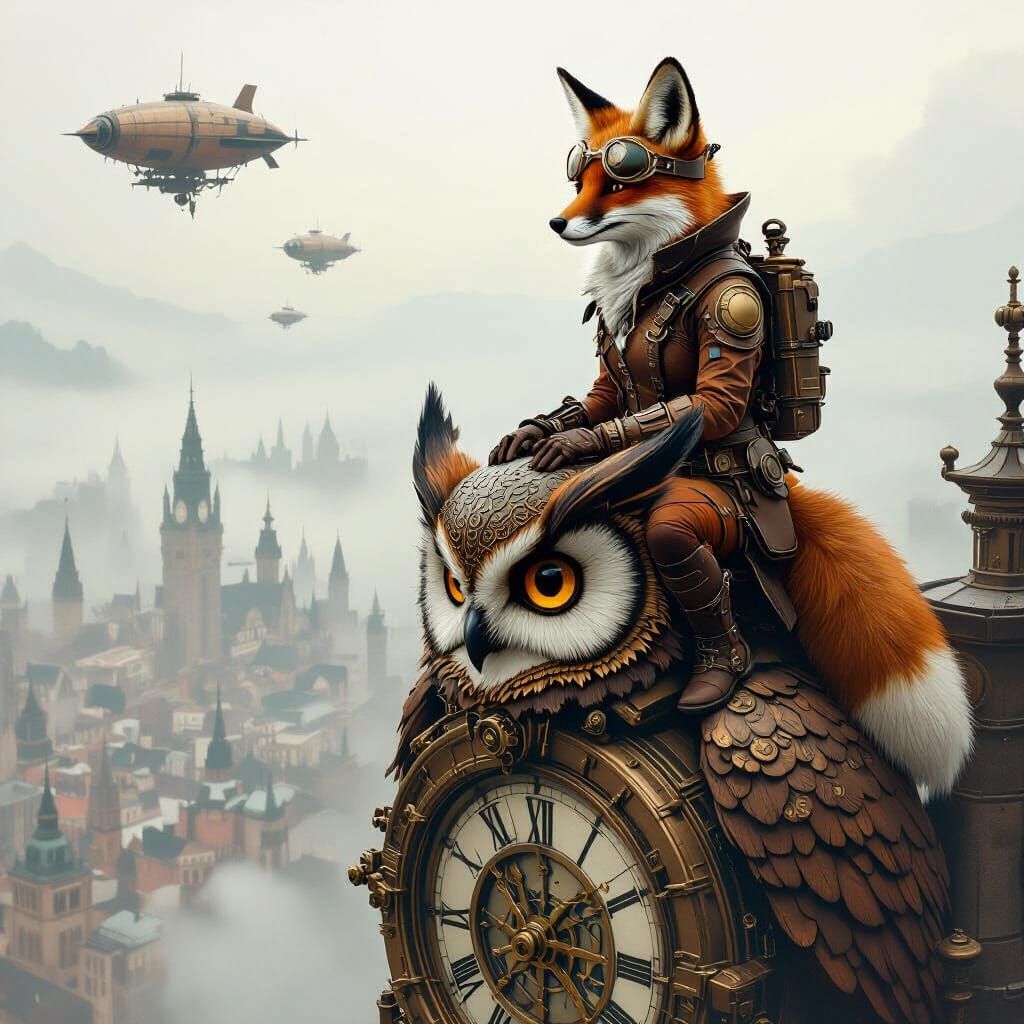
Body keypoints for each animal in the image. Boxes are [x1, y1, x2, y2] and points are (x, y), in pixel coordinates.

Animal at [527, 57, 973, 795]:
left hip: (711, 518)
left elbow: (704, 403)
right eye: (576, 177)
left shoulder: (734, 310)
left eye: (620, 178)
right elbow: (597, 399)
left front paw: (571, 446)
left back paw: (719, 672)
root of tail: (781, 496)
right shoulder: (609, 377)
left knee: (685, 554)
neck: (655, 274)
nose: (557, 223)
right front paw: (537, 433)